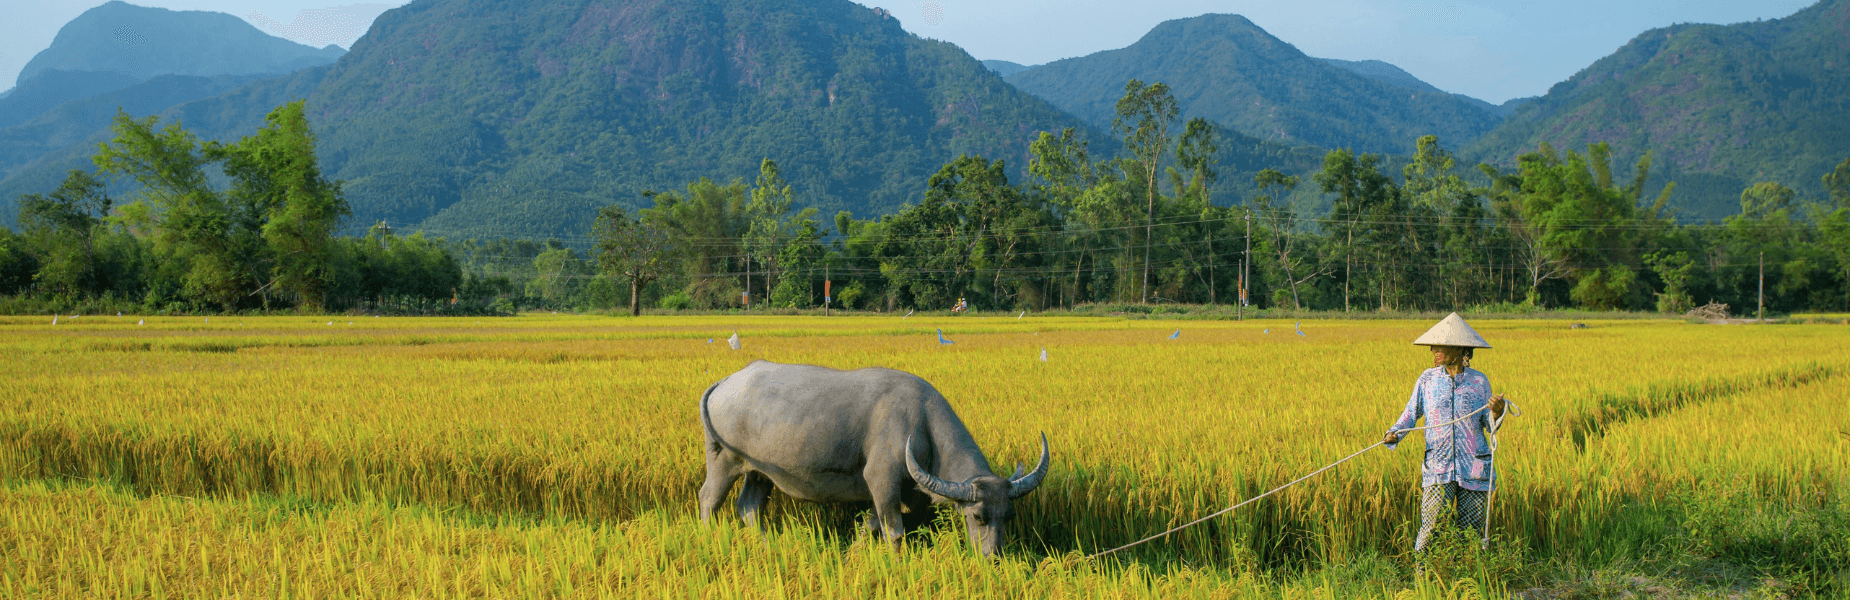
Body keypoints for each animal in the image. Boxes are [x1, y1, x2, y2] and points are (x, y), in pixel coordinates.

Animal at [695, 359, 1050, 555]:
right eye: (977, 516)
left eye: (1009, 516)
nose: (994, 557)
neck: (921, 421)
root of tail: (725, 382)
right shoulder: (882, 480)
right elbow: (894, 531)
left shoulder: (898, 492)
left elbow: (871, 525)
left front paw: (853, 554)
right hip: (723, 460)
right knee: (709, 499)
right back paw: (710, 540)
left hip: (758, 472)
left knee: (749, 507)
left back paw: (767, 546)